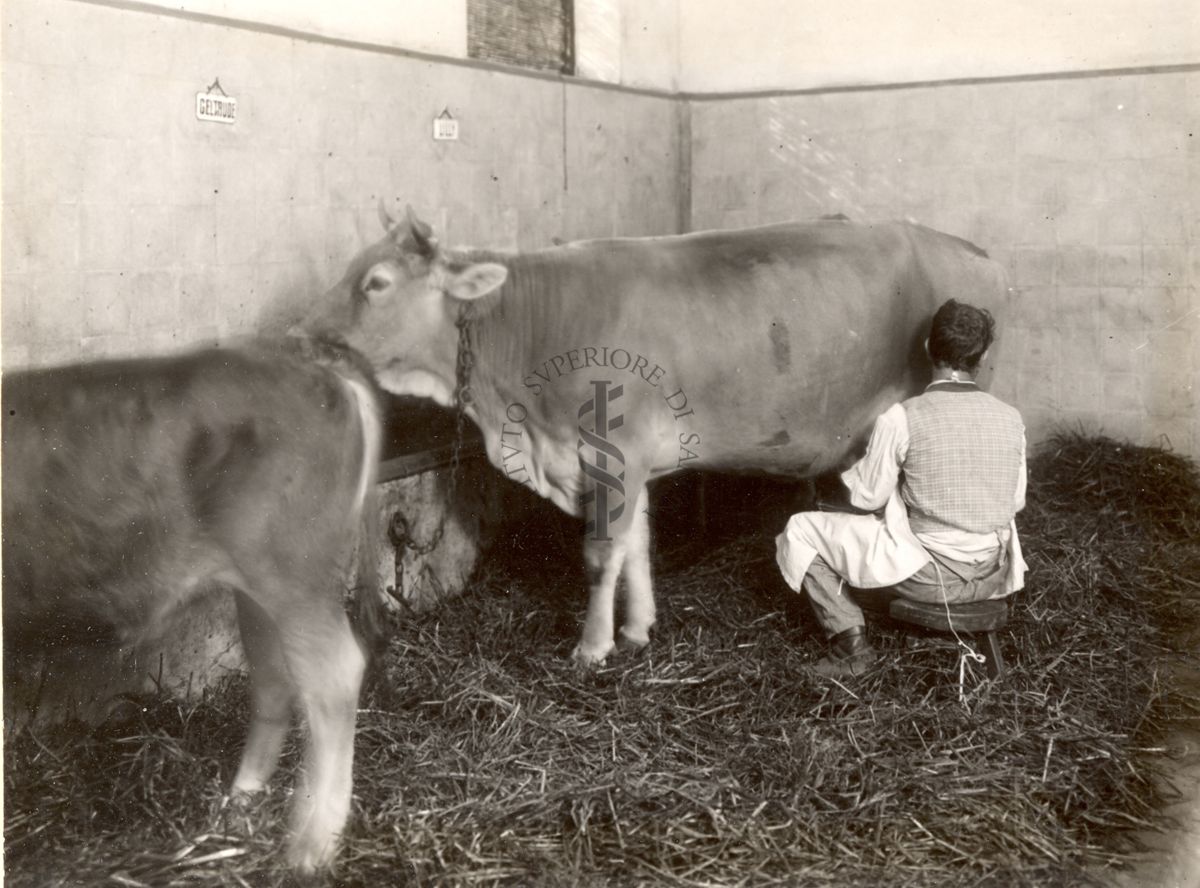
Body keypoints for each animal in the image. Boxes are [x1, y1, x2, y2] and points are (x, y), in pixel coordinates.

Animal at [0, 340, 381, 873]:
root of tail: (322, 368)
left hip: (294, 574)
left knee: (334, 677)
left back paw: (309, 850)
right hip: (258, 590)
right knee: (276, 680)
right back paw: (237, 810)